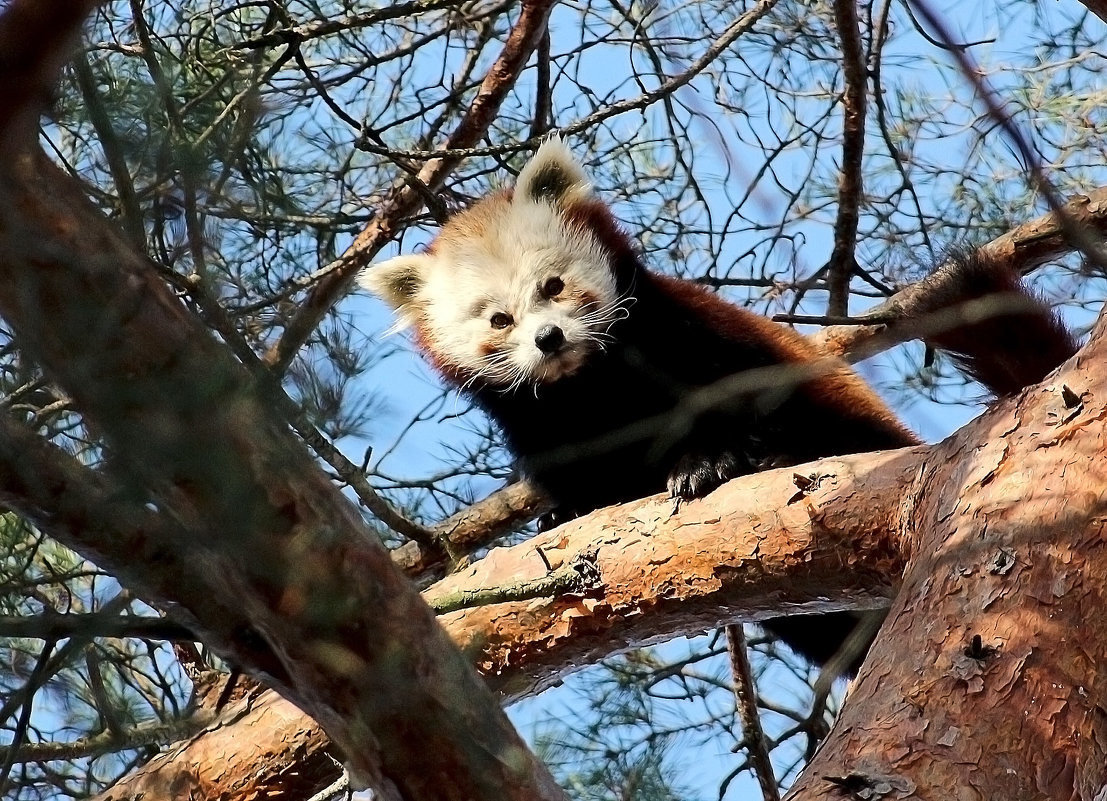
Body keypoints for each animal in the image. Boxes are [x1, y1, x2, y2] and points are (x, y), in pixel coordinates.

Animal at [363, 137, 1080, 668]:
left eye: (553, 286)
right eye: (499, 319)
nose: (548, 339)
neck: (595, 389)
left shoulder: (698, 340)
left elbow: (738, 404)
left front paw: (711, 460)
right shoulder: (542, 425)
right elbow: (573, 477)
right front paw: (565, 512)